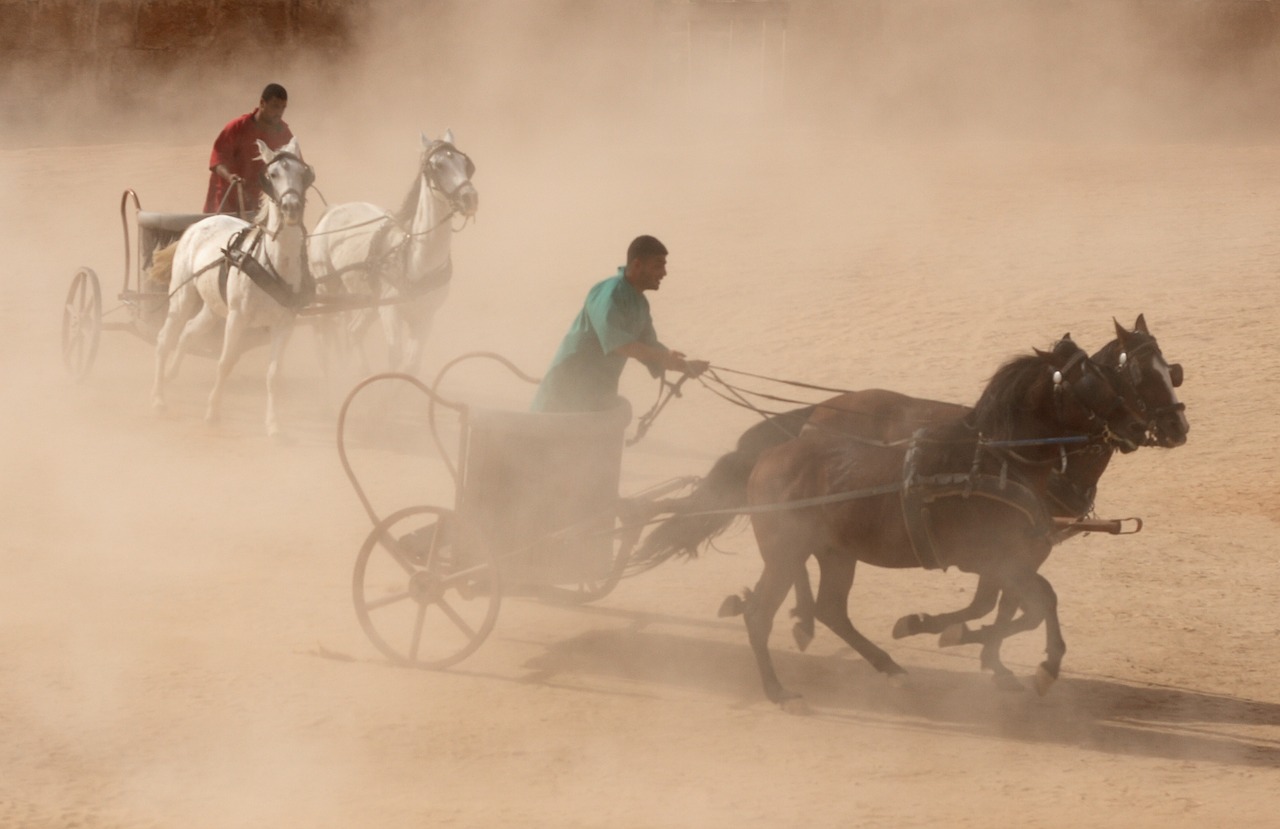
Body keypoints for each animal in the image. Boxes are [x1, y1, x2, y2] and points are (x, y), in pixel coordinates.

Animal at [152, 137, 314, 440]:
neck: (271, 261)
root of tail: (200, 222)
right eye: (272, 174)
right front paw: (212, 413)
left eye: (303, 173)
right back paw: (158, 398)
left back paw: (170, 374)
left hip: (214, 308)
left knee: (189, 331)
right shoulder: (238, 318)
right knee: (165, 338)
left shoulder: (284, 324)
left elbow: (273, 374)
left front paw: (274, 425)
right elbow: (225, 362)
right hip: (183, 297)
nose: (291, 208)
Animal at [307, 130, 478, 376]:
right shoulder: (390, 311)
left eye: (465, 164)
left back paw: (362, 373)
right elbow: (395, 357)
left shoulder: (425, 317)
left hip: (367, 300)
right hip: (327, 287)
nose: (470, 198)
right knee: (323, 331)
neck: (417, 259)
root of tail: (334, 209)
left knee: (353, 330)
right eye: (438, 166)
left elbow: (411, 364)